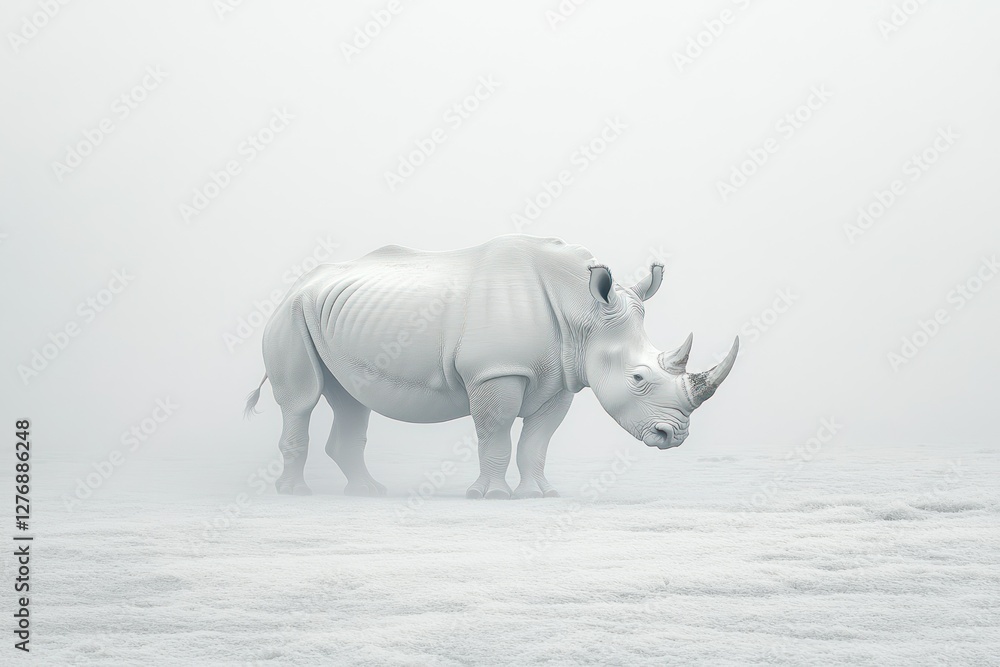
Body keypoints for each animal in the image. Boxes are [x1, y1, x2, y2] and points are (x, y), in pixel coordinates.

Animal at [246, 235, 738, 499]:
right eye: (638, 378)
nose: (674, 436)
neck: (583, 312)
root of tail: (299, 285)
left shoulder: (562, 377)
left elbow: (537, 442)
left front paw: (540, 494)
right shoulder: (496, 370)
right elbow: (495, 433)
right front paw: (490, 495)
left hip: (331, 315)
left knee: (351, 400)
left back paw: (368, 492)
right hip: (291, 314)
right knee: (302, 400)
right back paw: (296, 493)